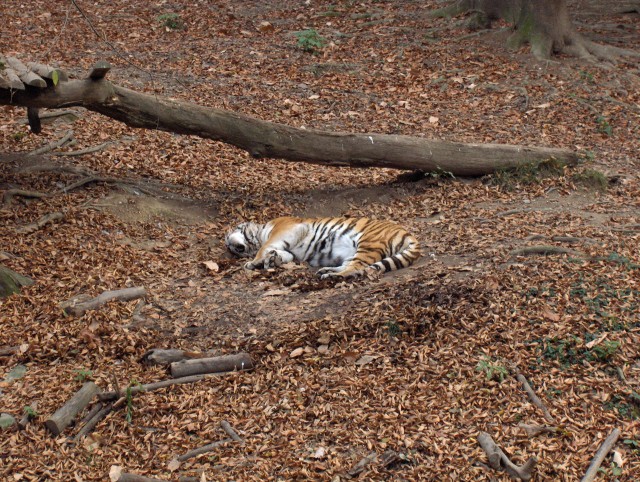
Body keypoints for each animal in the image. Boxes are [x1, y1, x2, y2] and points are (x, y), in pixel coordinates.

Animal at [225, 216, 420, 278]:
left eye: (229, 238)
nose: (231, 247)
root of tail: (407, 233)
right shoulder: (290, 249)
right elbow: (285, 254)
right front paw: (273, 260)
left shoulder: (284, 229)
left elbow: (264, 247)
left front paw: (253, 262)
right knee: (350, 265)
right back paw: (327, 270)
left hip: (368, 243)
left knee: (356, 268)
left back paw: (332, 276)